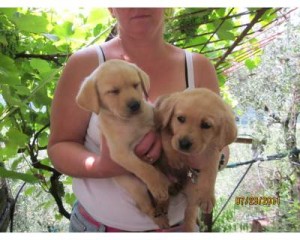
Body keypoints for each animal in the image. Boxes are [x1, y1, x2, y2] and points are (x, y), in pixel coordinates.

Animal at [76, 59, 171, 227]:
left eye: (136, 85)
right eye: (114, 91)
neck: (131, 122)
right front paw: (156, 184)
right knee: (146, 207)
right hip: (136, 187)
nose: (135, 105)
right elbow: (144, 168)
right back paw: (159, 215)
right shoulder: (120, 152)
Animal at [156, 88, 238, 231]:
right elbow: (167, 138)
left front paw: (207, 196)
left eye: (206, 125)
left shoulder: (214, 153)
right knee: (162, 196)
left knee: (190, 214)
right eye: (180, 118)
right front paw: (175, 158)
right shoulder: (164, 127)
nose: (184, 144)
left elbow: (210, 174)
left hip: (192, 195)